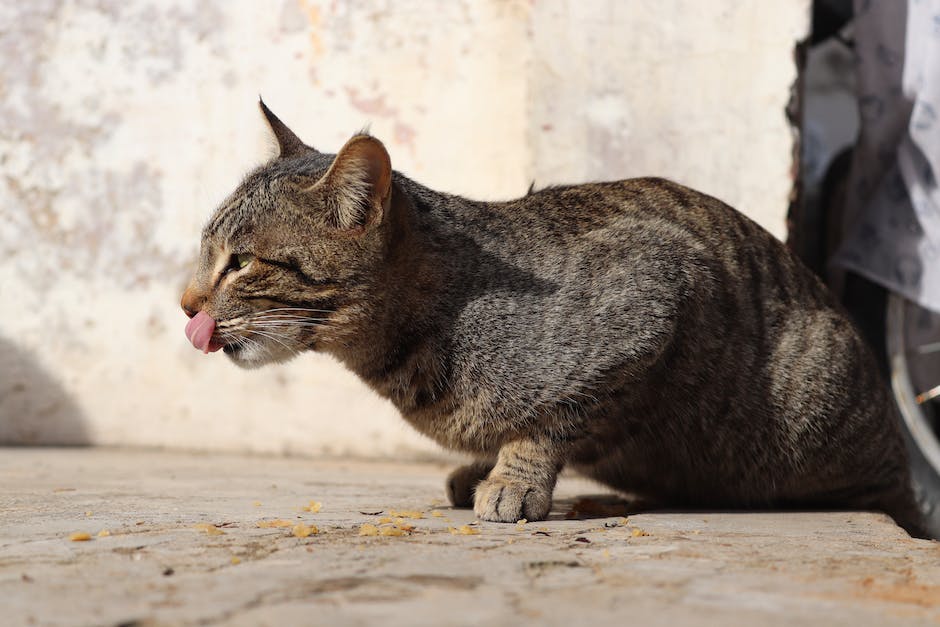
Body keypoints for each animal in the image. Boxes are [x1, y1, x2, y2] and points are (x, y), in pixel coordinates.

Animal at [182, 100, 924, 536]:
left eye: (241, 262)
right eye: (206, 249)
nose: (185, 303)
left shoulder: (659, 285)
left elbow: (552, 418)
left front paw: (512, 479)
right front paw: (483, 467)